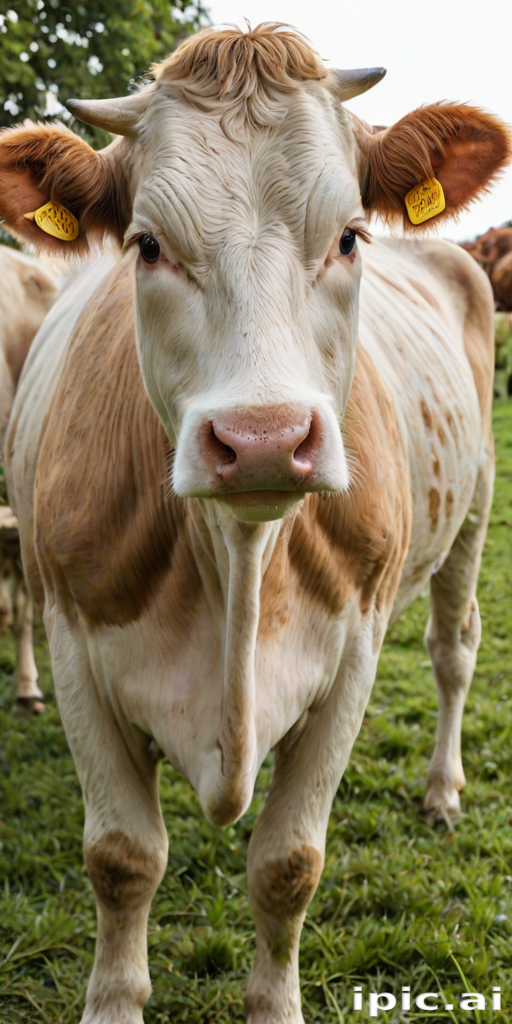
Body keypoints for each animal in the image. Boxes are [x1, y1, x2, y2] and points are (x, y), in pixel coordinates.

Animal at [0, 23, 510, 1024]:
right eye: (146, 246)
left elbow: (288, 865)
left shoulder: (353, 652)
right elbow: (122, 857)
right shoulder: (77, 644)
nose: (265, 440)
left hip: (472, 508)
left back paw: (441, 790)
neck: (234, 563)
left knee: (453, 649)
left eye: (349, 235)